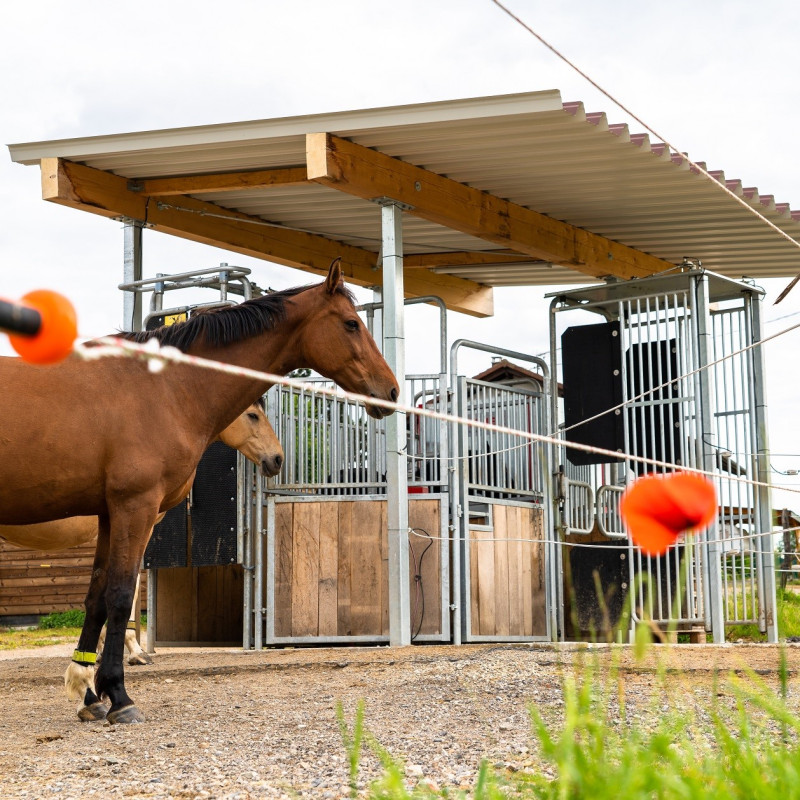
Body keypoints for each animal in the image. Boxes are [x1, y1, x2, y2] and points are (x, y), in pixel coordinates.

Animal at [0, 260, 398, 720]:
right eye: (352, 323)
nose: (391, 391)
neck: (164, 388)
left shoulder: (108, 513)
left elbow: (97, 596)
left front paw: (86, 689)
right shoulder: (136, 508)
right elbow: (121, 595)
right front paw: (118, 694)